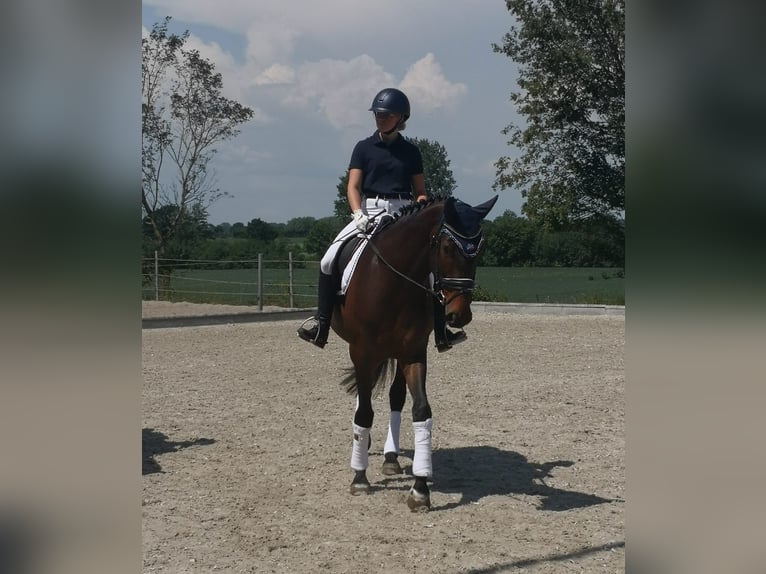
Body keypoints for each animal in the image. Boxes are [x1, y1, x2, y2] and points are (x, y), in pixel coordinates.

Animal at [330, 194, 498, 510]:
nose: (459, 315)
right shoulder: (361, 350)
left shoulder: (414, 352)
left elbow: (421, 410)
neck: (393, 281)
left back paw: (390, 457)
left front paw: (420, 487)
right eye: (447, 247)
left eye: (479, 250)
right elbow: (365, 410)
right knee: (364, 394)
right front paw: (359, 477)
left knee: (394, 396)